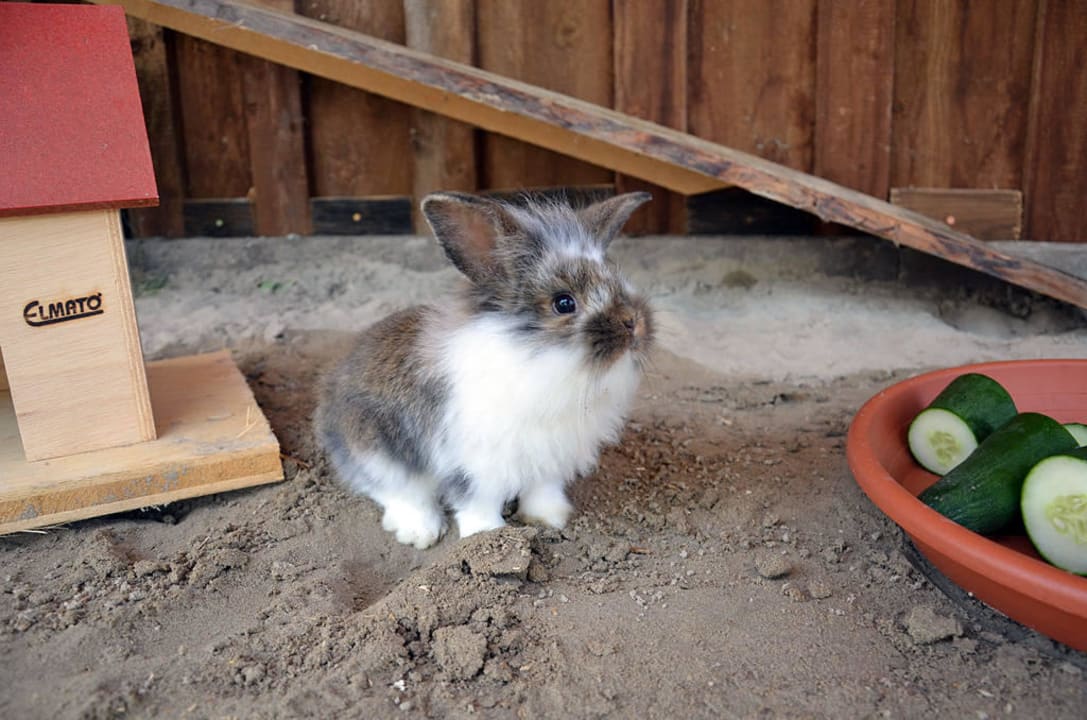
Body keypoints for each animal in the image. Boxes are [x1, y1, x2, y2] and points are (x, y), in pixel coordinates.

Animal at [313, 190, 653, 549]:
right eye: (564, 303)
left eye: (618, 281)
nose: (634, 323)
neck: (537, 361)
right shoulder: (475, 463)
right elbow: (478, 501)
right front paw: (487, 536)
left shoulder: (550, 459)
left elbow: (542, 490)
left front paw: (549, 518)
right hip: (375, 449)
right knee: (397, 491)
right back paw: (420, 532)